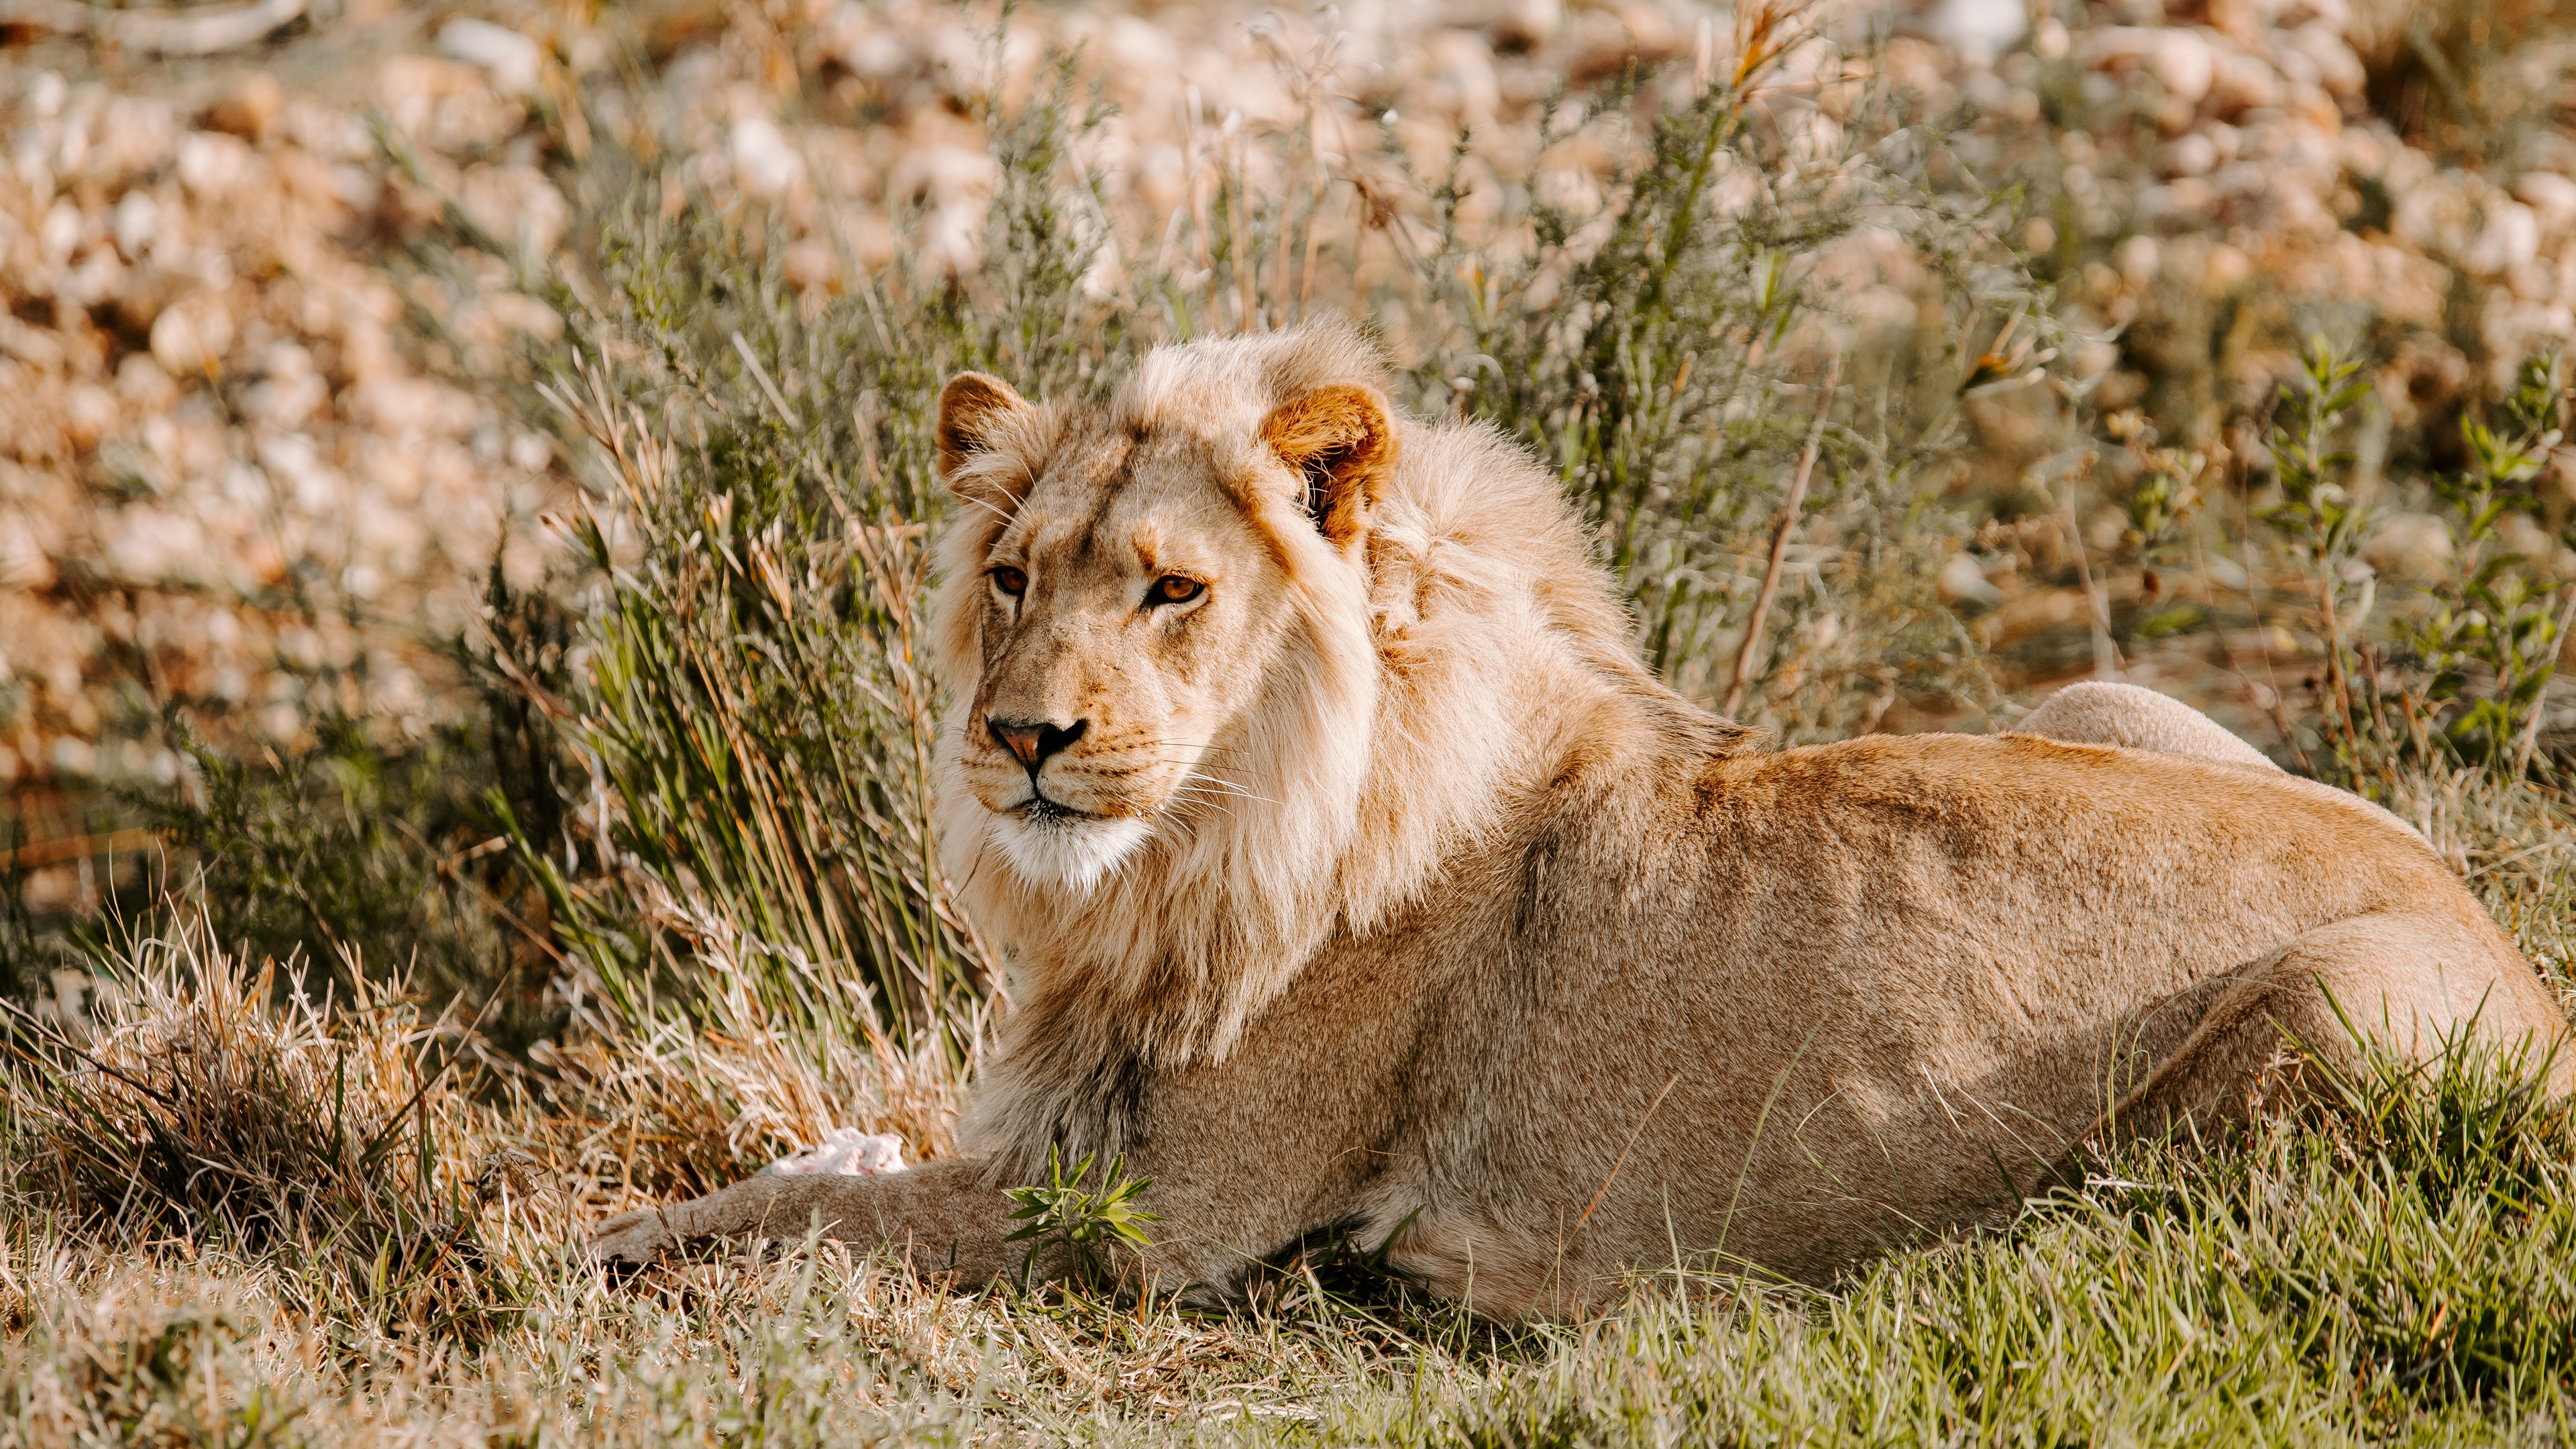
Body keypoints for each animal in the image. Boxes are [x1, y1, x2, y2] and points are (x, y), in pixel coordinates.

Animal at [592, 325, 2565, 1309]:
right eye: (1008, 576)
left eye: (1170, 590)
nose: (1018, 736)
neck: (1171, 875)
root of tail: (2495, 930)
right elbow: (843, 1168)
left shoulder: (1163, 1224)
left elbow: (835, 1216)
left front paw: (617, 1242)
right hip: (2097, 703)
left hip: (2328, 1012)